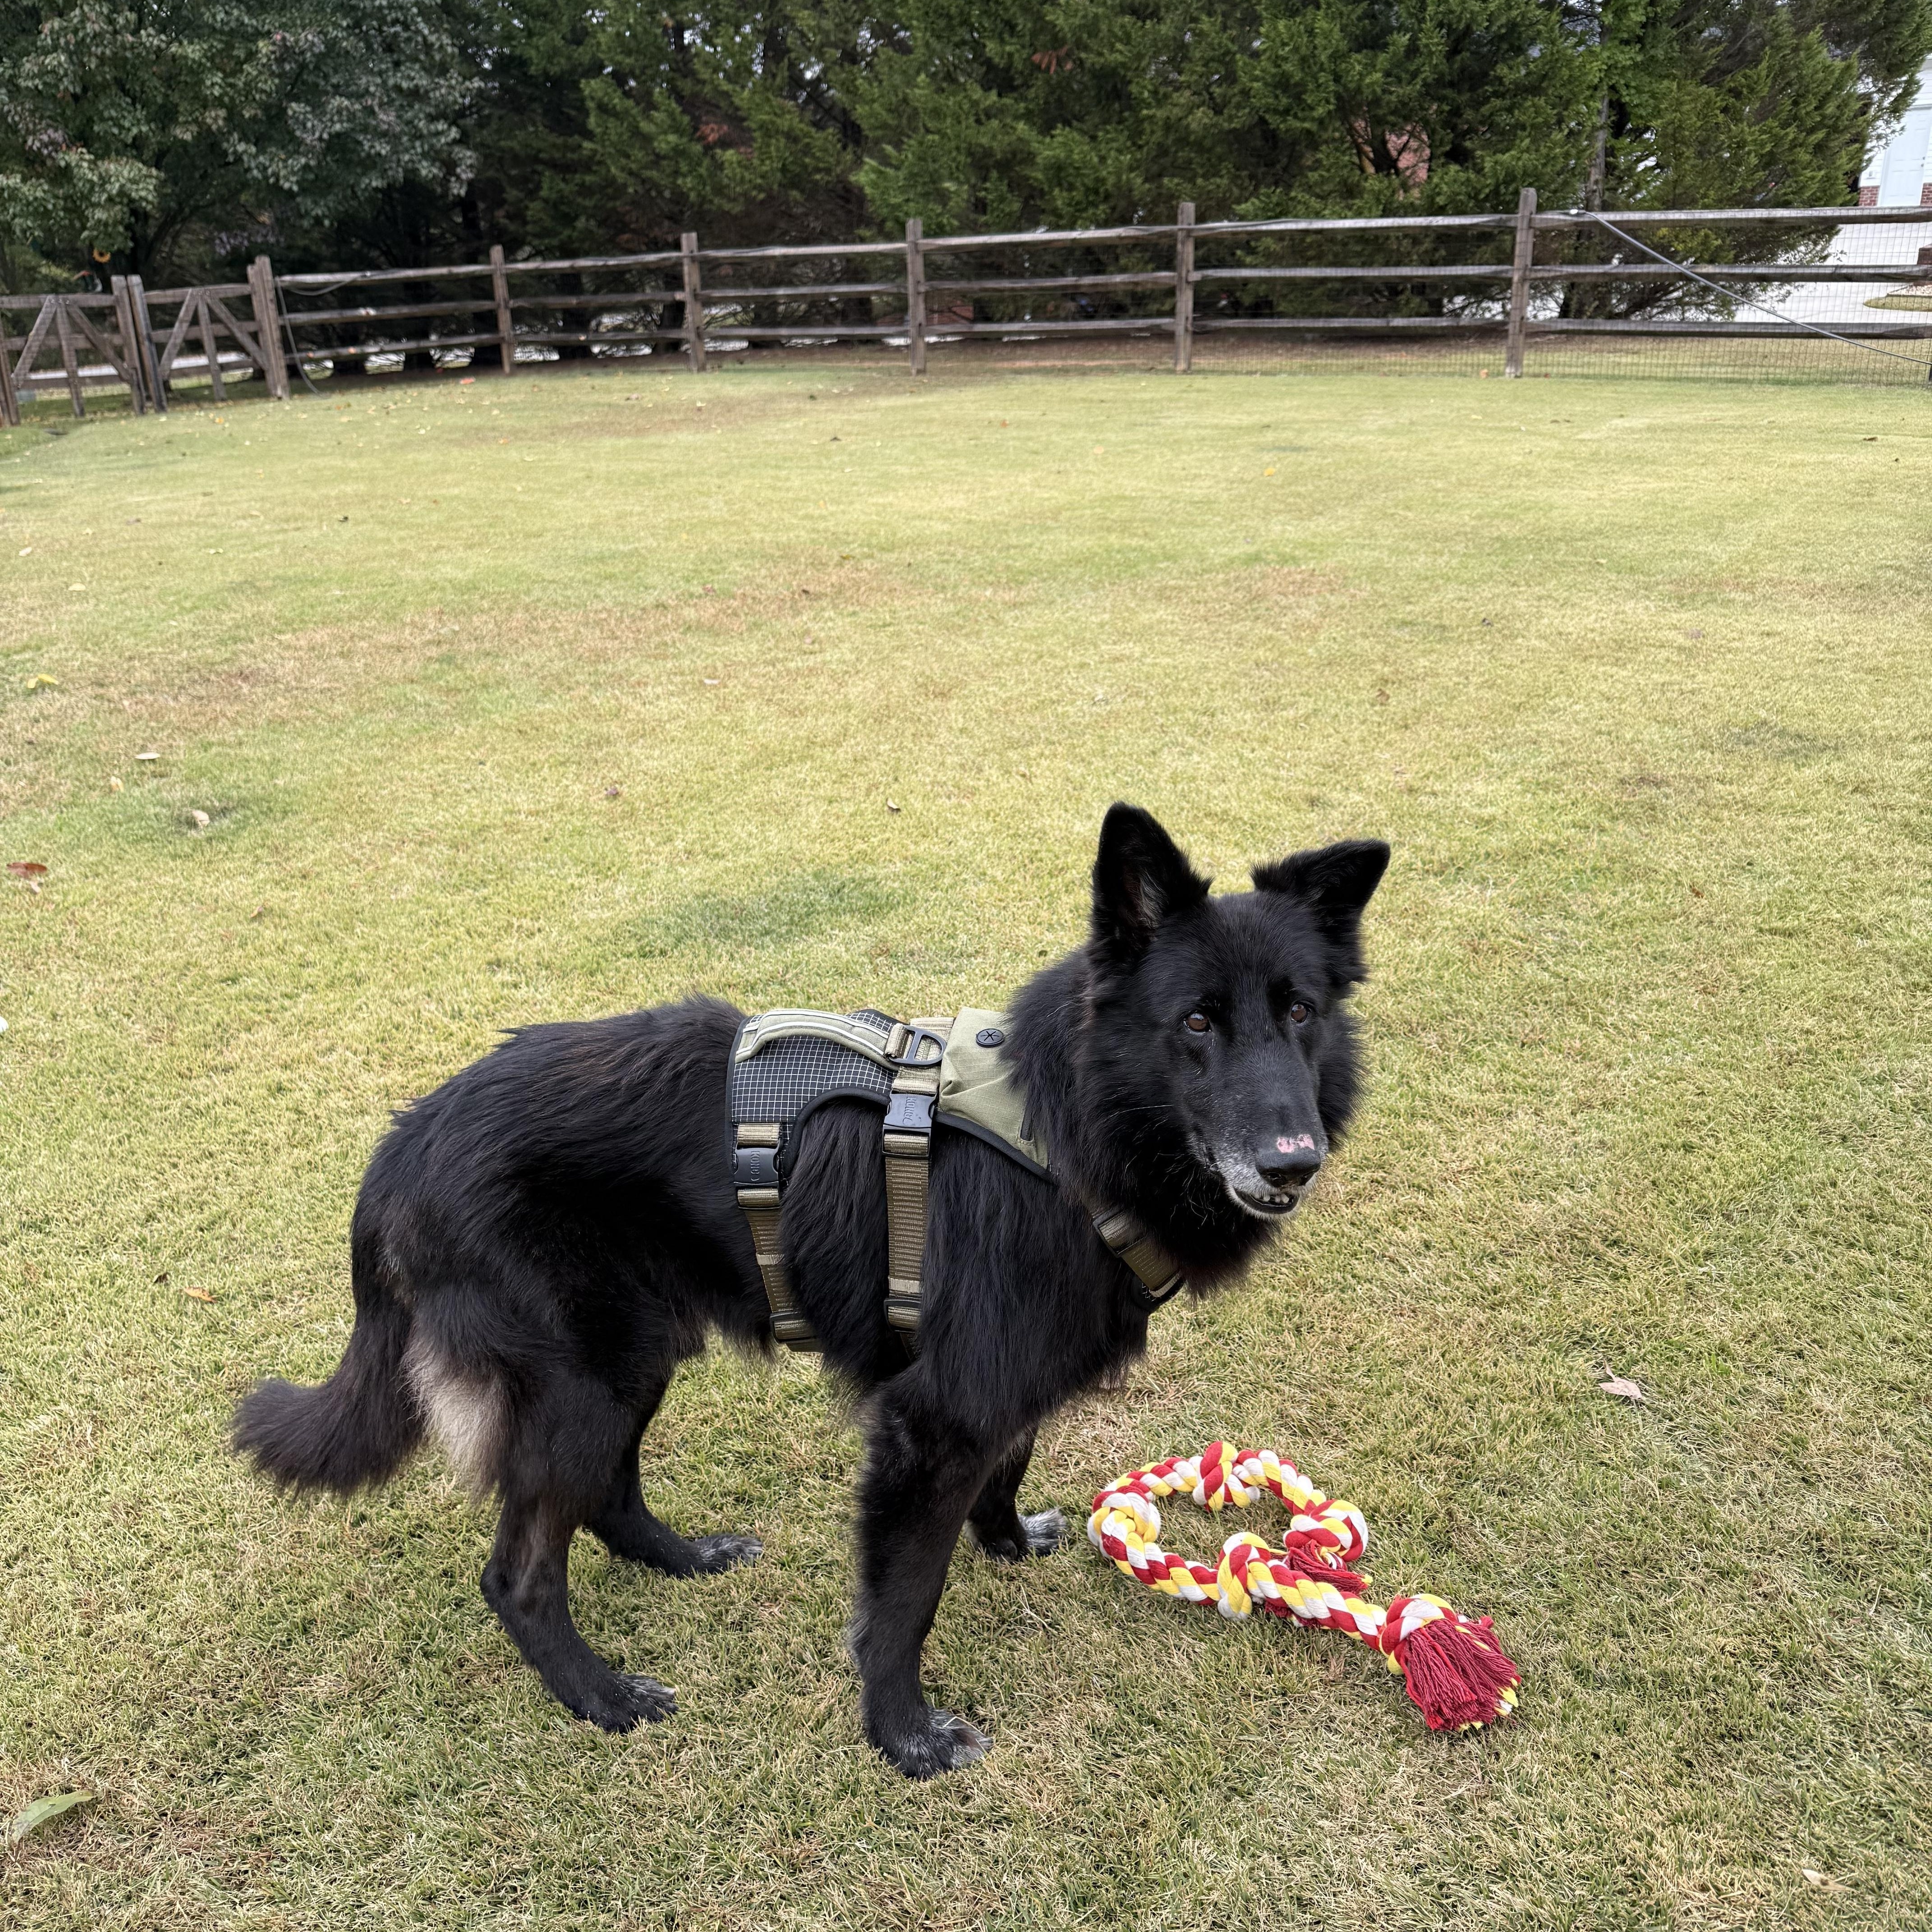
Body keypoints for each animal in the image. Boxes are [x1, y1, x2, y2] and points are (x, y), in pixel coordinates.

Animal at [233, 803, 1388, 1777]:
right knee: (518, 1575)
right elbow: (904, 1601)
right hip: (581, 1382)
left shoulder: (998, 1390)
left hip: (633, 1360)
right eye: (1195, 1023)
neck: (1071, 1132)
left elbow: (1009, 1465)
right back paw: (601, 1697)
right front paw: (903, 1736)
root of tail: (403, 1143)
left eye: (1299, 1012)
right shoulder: (929, 1426)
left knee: (607, 1492)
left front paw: (1007, 1544)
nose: (1293, 1163)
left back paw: (683, 1559)